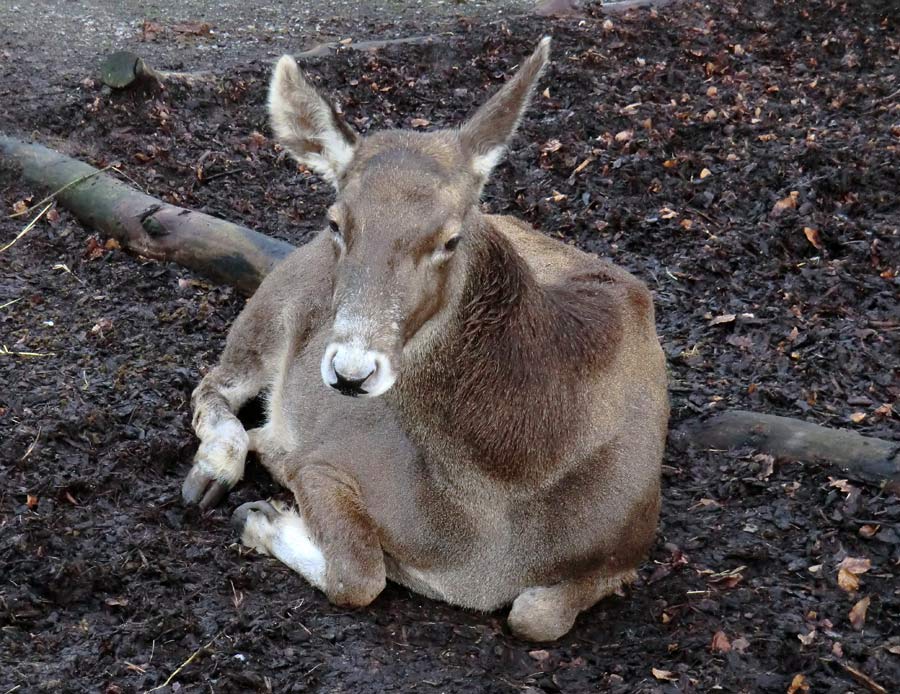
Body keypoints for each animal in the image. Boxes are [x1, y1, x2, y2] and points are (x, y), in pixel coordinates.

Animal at [181, 38, 668, 640]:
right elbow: (359, 575)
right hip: (273, 305)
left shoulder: (634, 545)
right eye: (337, 222)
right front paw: (266, 515)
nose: (351, 371)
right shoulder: (324, 461)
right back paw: (215, 468)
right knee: (215, 385)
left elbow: (536, 614)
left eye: (450, 238)